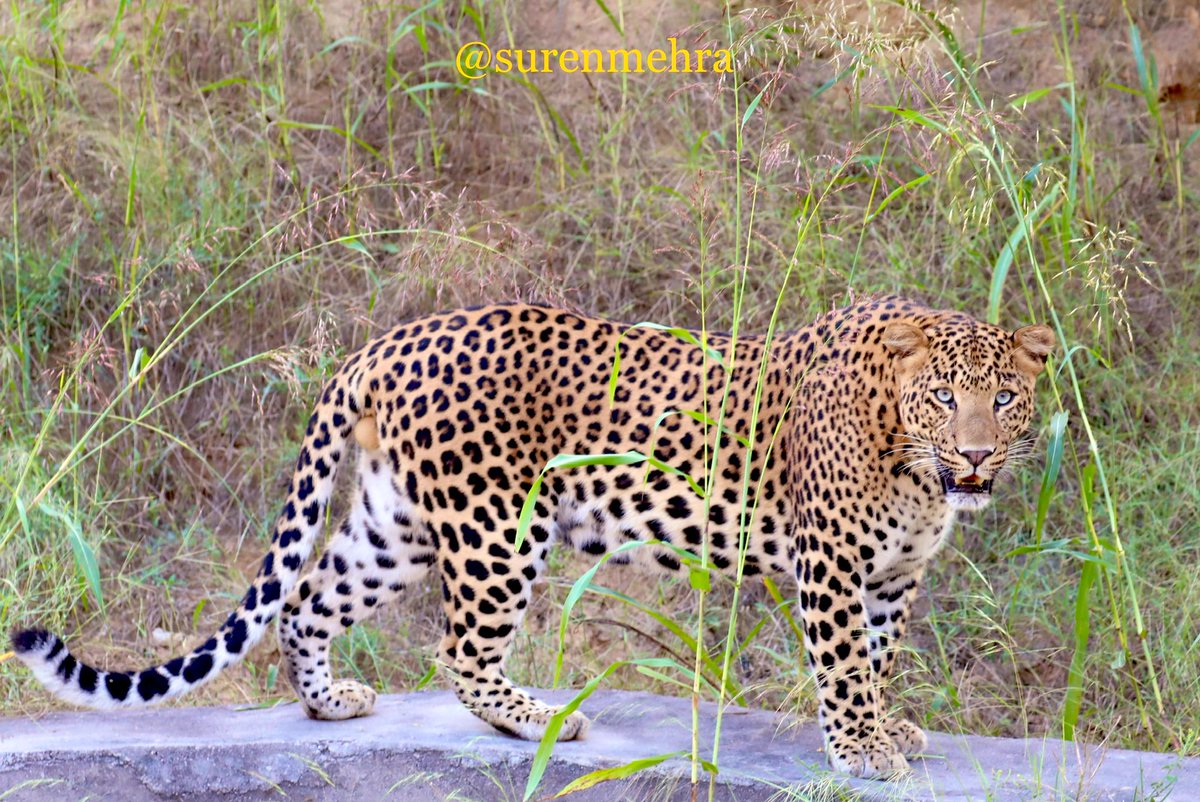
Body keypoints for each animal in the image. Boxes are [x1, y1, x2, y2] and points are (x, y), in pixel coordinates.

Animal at [12, 294, 1054, 779]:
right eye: (944, 396)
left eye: (1004, 398)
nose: (974, 453)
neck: (914, 470)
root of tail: (382, 342)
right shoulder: (833, 565)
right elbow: (842, 667)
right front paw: (861, 750)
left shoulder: (892, 577)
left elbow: (877, 661)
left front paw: (887, 728)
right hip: (494, 528)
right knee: (456, 647)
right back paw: (535, 718)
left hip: (394, 525)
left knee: (308, 600)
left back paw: (332, 704)